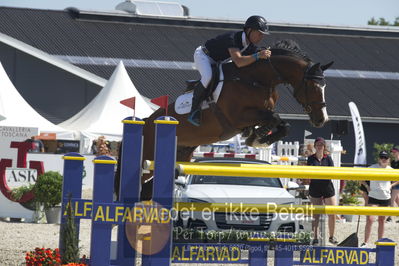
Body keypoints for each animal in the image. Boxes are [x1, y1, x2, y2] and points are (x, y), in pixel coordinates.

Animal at [115, 40, 334, 200]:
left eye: (325, 86)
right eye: (314, 87)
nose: (321, 119)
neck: (257, 78)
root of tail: (146, 121)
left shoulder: (258, 114)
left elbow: (282, 124)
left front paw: (259, 137)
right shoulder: (237, 117)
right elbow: (275, 118)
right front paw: (258, 138)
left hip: (181, 154)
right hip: (147, 155)